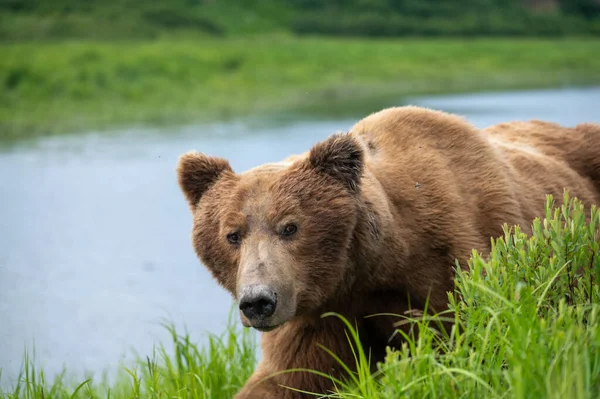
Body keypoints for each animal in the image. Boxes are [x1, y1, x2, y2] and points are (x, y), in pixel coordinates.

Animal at [176, 107, 596, 399]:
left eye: (290, 226)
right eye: (232, 235)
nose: (258, 302)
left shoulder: (449, 270)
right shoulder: (317, 312)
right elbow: (287, 377)